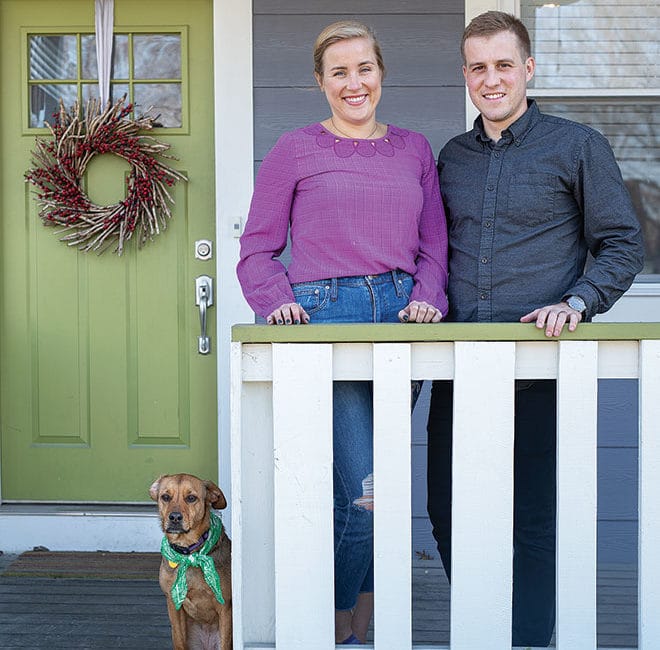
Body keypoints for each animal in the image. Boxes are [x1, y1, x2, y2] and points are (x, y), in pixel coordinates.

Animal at [151, 470, 233, 648]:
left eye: (191, 498)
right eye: (165, 497)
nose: (175, 517)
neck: (188, 553)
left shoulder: (225, 607)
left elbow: (225, 642)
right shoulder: (173, 604)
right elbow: (179, 640)